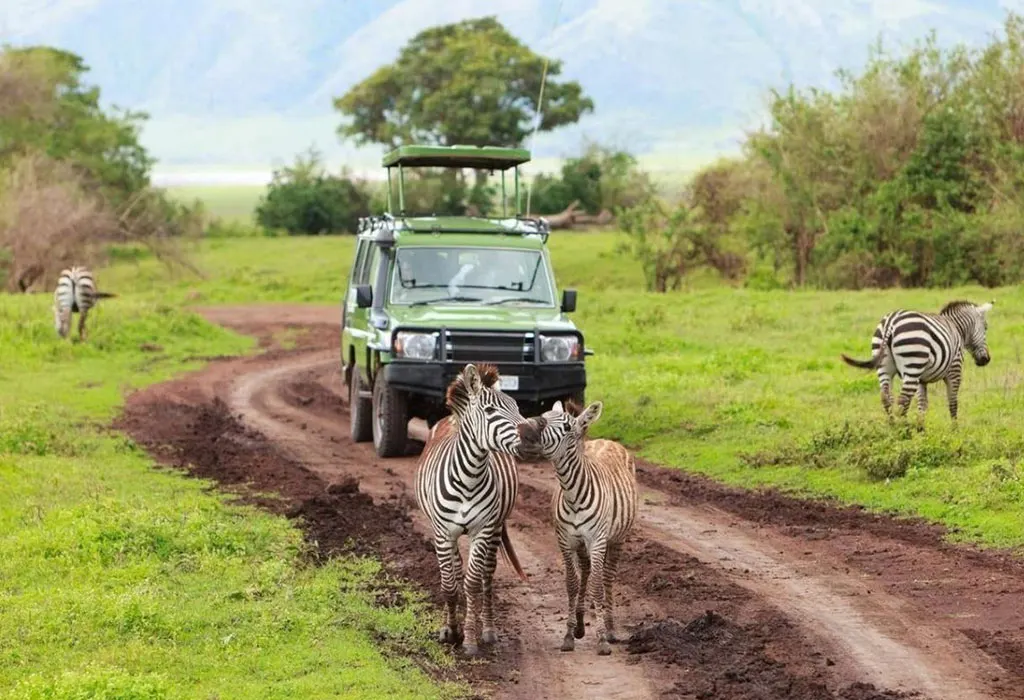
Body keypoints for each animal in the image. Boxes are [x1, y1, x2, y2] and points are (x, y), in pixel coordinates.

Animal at [413, 362, 539, 657]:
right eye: (490, 411)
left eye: (517, 406)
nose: (531, 435)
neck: (469, 477)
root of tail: (449, 418)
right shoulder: (442, 532)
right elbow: (449, 584)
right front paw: (450, 630)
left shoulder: (482, 530)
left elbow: (472, 583)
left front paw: (469, 639)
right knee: (455, 571)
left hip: (495, 528)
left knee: (487, 575)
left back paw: (489, 629)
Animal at [518, 399, 638, 656]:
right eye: (543, 415)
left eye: (566, 427)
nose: (525, 430)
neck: (573, 494)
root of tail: (607, 440)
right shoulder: (565, 541)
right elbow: (572, 584)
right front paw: (569, 635)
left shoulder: (597, 540)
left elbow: (597, 586)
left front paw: (602, 639)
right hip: (583, 545)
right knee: (586, 571)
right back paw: (582, 625)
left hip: (617, 539)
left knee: (607, 577)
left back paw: (610, 629)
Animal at [841, 300, 994, 426]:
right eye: (986, 327)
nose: (986, 359)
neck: (957, 328)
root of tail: (891, 322)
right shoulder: (954, 370)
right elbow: (953, 402)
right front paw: (955, 430)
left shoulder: (921, 379)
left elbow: (922, 404)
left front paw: (921, 429)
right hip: (912, 365)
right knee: (903, 400)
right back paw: (905, 431)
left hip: (884, 365)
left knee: (886, 397)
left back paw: (892, 427)